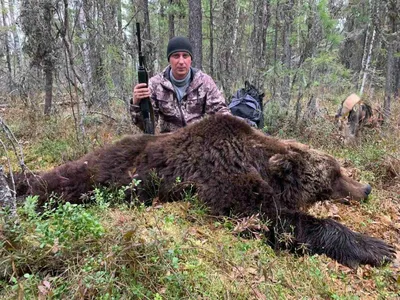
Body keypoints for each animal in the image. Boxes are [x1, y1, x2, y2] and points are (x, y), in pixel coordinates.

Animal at [14, 113, 394, 268]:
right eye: (335, 174)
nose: (366, 188)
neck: (257, 159)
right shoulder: (224, 179)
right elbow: (266, 217)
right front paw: (376, 247)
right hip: (105, 174)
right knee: (65, 183)